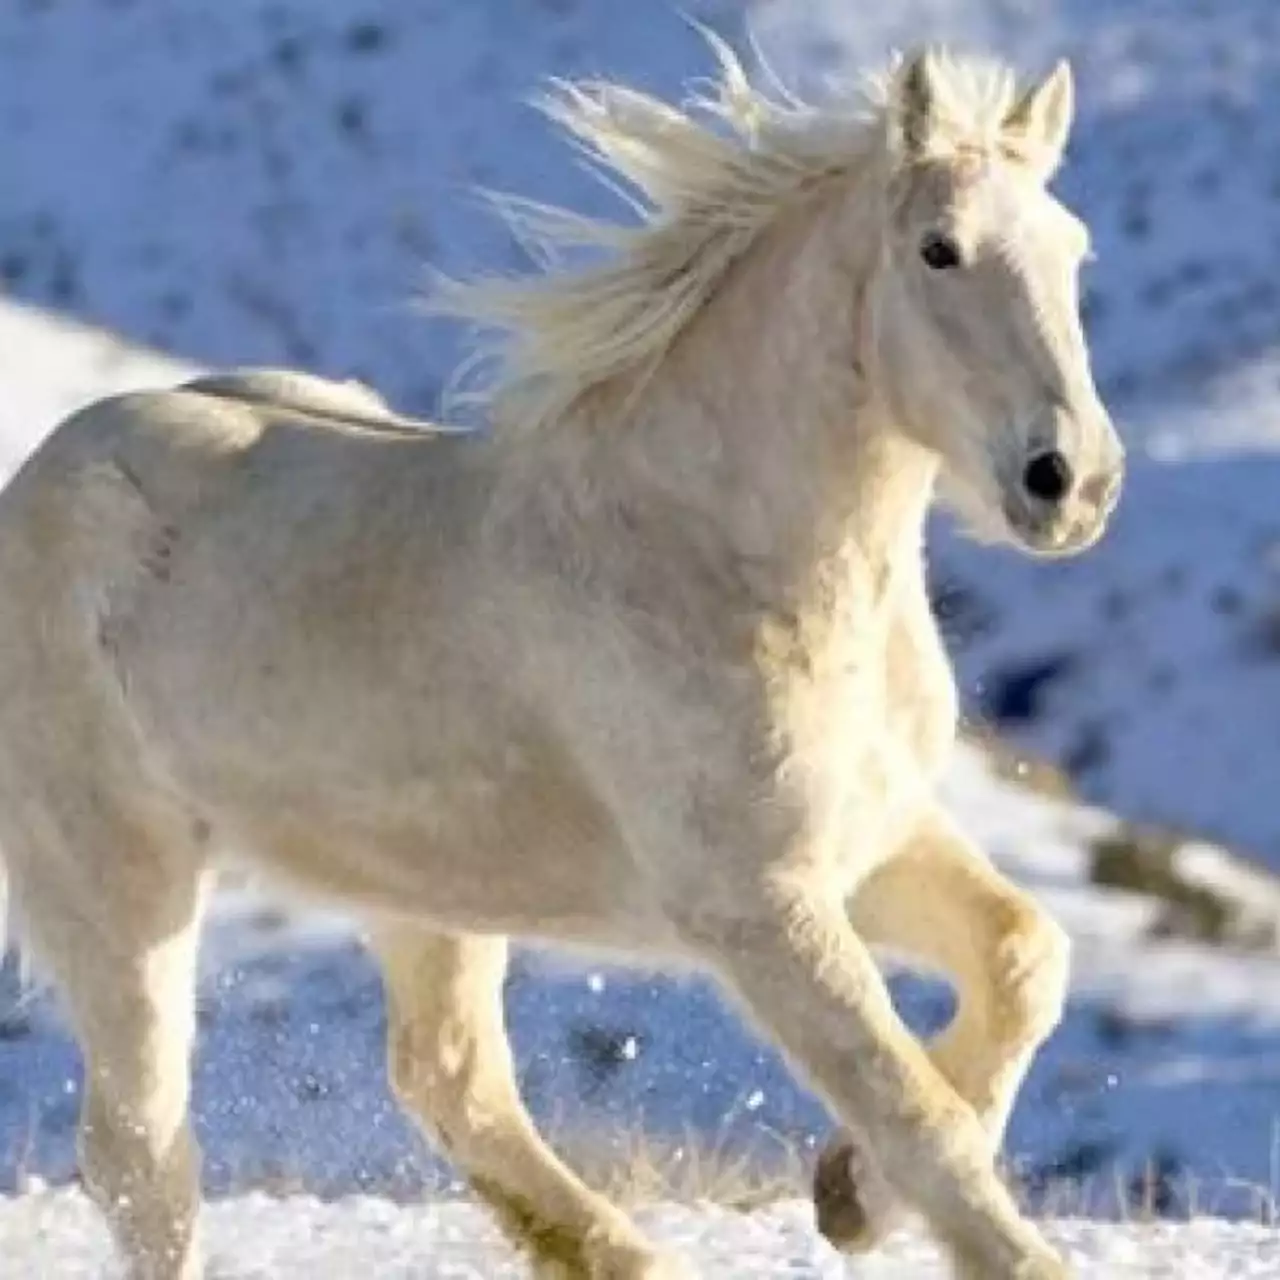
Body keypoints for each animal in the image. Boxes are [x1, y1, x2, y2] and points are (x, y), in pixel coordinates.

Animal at [0, 35, 1121, 1280]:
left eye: (1071, 247)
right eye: (939, 248)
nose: (1067, 481)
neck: (712, 552)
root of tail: (38, 474)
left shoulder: (866, 841)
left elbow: (1022, 957)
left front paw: (846, 1197)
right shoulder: (756, 904)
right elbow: (910, 1104)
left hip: (420, 882)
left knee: (448, 1076)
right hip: (114, 871)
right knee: (145, 1149)